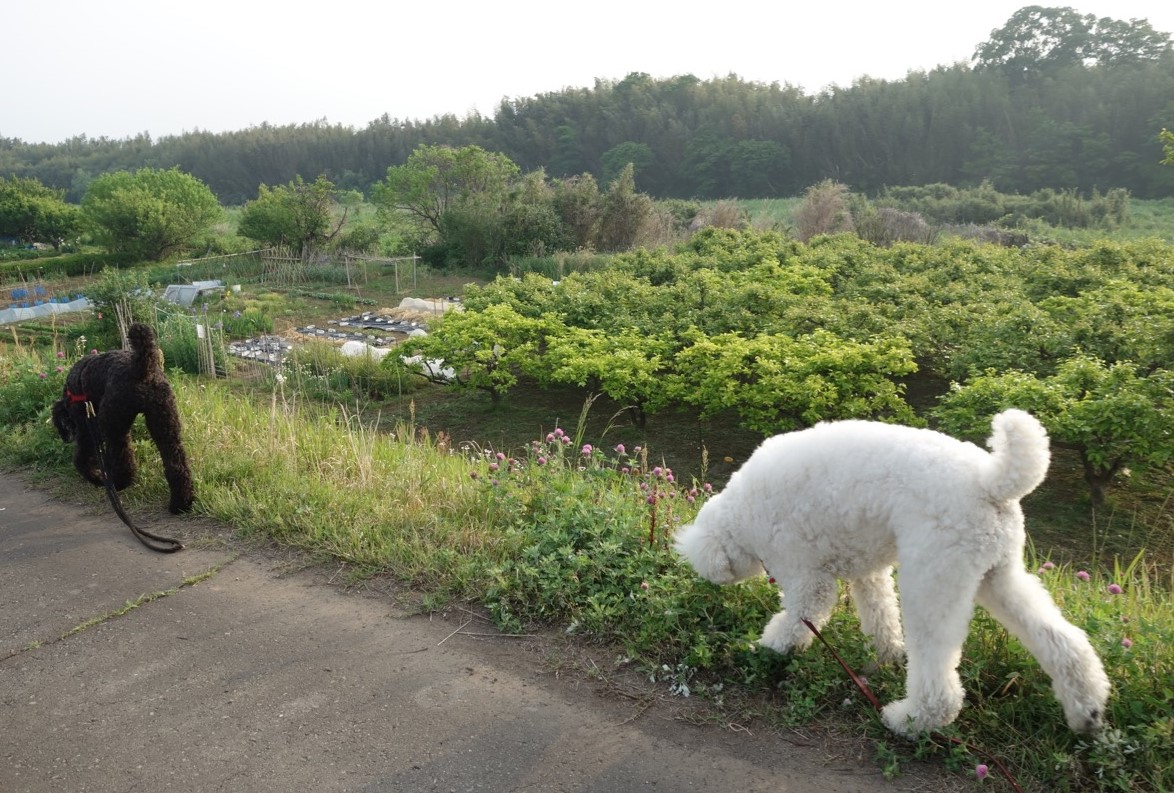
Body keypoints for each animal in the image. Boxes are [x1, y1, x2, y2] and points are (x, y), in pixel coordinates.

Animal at [51, 321, 194, 514]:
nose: (66, 437)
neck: (68, 395)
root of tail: (140, 366)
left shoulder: (86, 428)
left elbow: (83, 457)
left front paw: (94, 476)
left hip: (112, 423)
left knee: (122, 456)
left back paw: (118, 483)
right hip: (164, 422)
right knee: (176, 463)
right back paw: (181, 503)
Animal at [680, 408, 1108, 737]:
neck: (741, 511)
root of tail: (990, 482)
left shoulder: (805, 574)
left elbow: (799, 618)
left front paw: (767, 649)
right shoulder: (868, 573)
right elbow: (880, 616)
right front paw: (886, 658)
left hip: (932, 580)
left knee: (939, 685)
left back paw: (909, 720)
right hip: (996, 574)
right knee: (1062, 641)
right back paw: (1086, 712)